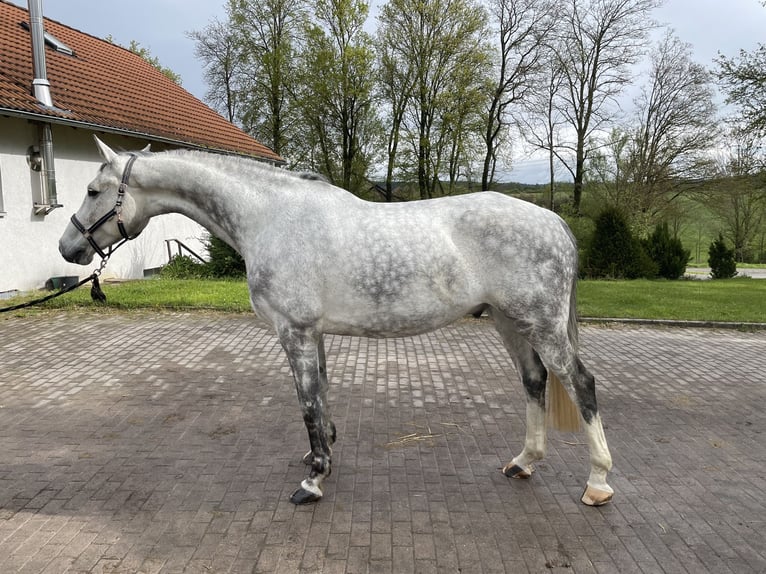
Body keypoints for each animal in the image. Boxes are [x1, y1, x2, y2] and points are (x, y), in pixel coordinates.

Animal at [58, 140, 616, 508]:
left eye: (93, 190)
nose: (68, 248)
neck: (270, 217)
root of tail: (553, 221)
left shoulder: (296, 331)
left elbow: (306, 402)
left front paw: (313, 481)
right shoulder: (314, 334)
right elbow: (321, 396)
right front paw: (321, 455)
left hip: (541, 325)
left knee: (581, 384)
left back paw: (598, 483)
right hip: (509, 322)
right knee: (535, 381)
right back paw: (524, 462)